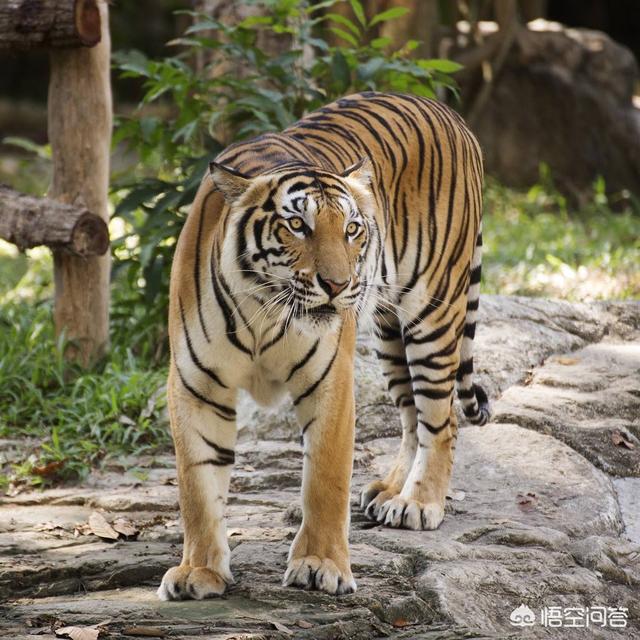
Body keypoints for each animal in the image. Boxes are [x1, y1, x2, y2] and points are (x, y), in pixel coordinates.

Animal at [157, 91, 490, 601]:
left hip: (433, 312)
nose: (337, 284)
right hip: (389, 332)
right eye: (297, 225)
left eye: (352, 229)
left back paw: (418, 502)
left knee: (442, 416)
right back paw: (390, 491)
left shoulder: (331, 378)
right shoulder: (197, 385)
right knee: (411, 414)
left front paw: (321, 566)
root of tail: (448, 111)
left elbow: (325, 480)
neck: (265, 311)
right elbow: (197, 486)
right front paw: (199, 571)